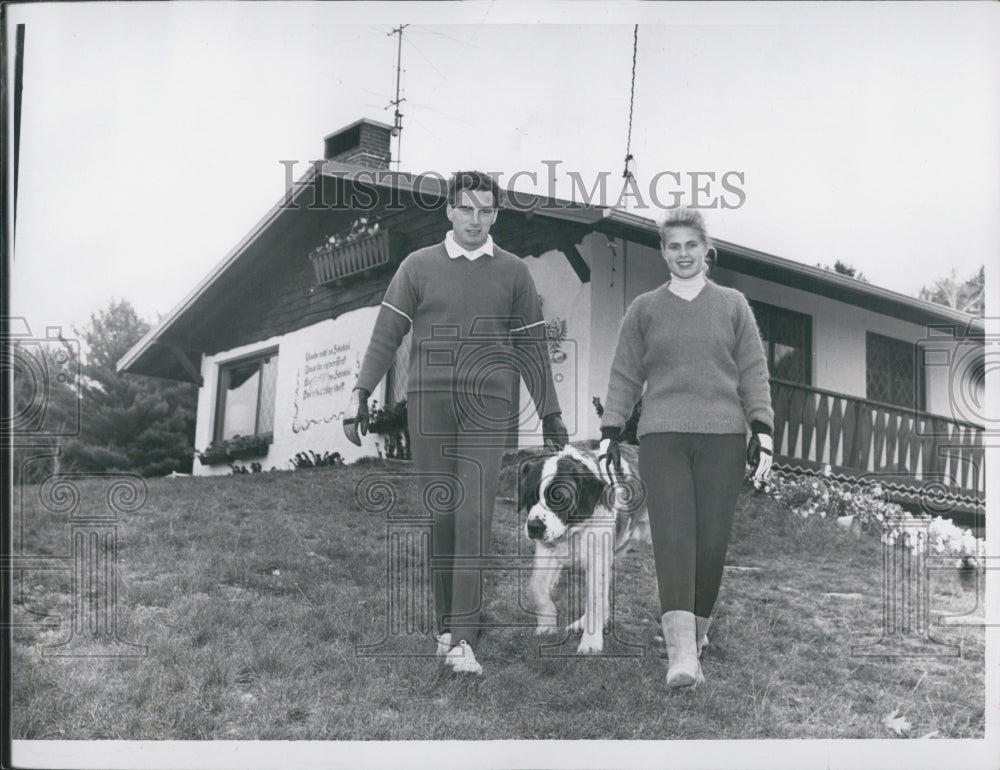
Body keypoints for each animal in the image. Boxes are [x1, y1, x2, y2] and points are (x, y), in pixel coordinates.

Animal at [516, 440, 648, 652]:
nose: (534, 527)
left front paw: (591, 643)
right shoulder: (547, 552)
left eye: (558, 498)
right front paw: (546, 625)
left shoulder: (598, 559)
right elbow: (537, 586)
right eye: (529, 497)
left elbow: (594, 600)